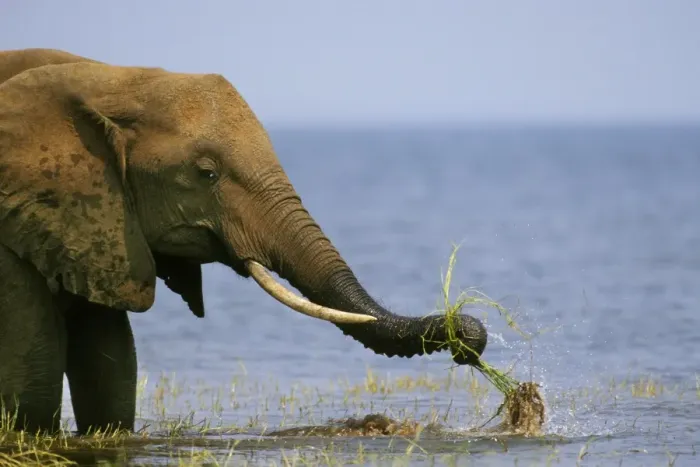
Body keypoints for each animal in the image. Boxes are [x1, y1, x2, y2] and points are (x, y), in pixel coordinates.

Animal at [0, 48, 488, 435]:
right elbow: (35, 382)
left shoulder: (94, 228)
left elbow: (110, 368)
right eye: (206, 173)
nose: (468, 341)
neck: (110, 79)